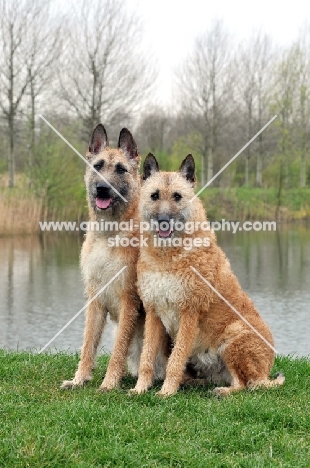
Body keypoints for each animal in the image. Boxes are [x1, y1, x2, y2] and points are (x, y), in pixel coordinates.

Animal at [60, 124, 167, 392]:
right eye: (98, 166)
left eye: (120, 169)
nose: (102, 188)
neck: (109, 234)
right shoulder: (95, 300)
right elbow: (88, 344)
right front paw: (79, 379)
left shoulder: (128, 300)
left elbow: (118, 349)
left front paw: (109, 383)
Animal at [130, 153, 284, 394]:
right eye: (154, 196)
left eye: (177, 196)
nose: (163, 220)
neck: (168, 257)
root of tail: (265, 373)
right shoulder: (154, 314)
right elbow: (146, 357)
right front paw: (140, 389)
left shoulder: (189, 314)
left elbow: (176, 359)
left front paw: (166, 392)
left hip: (233, 336)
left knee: (244, 384)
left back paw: (223, 392)